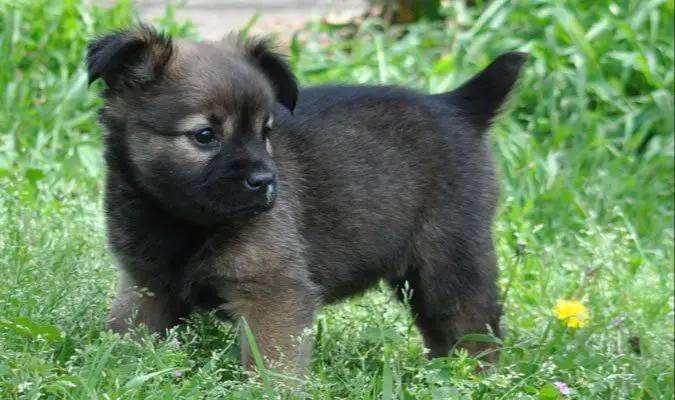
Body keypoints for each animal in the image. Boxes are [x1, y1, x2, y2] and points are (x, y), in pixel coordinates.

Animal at [86, 24, 528, 376]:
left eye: (265, 131)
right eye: (205, 135)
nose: (266, 182)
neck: (181, 221)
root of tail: (457, 105)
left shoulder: (275, 294)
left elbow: (271, 368)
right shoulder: (146, 286)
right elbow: (128, 336)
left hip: (450, 262)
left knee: (472, 325)